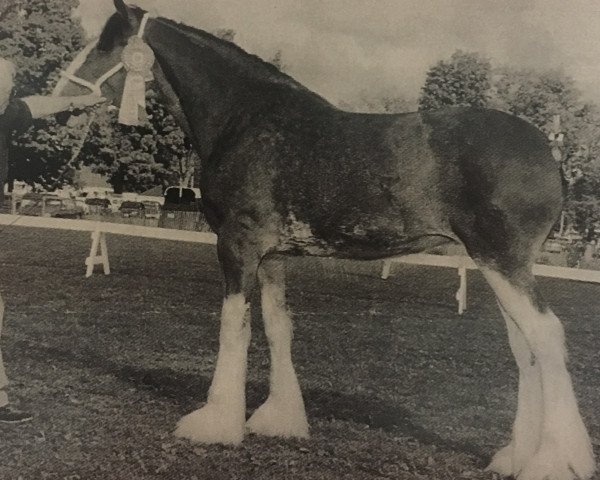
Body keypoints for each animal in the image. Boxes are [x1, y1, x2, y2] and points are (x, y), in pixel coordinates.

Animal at [55, 1, 596, 478]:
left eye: (105, 44)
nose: (59, 101)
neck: (245, 119)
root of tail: (548, 152)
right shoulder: (273, 256)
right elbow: (278, 326)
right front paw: (278, 418)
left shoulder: (236, 244)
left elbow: (234, 326)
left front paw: (216, 424)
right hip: (498, 265)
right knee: (524, 346)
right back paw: (515, 457)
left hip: (502, 260)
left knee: (546, 336)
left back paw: (553, 463)